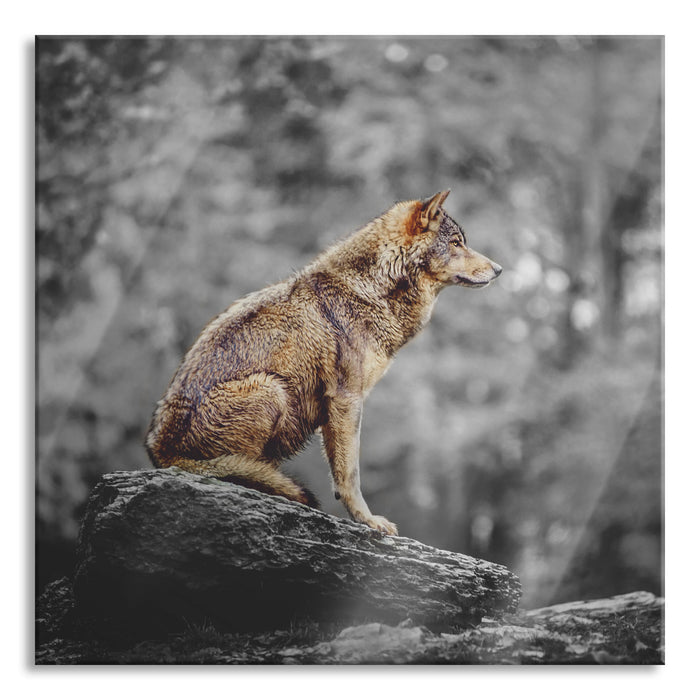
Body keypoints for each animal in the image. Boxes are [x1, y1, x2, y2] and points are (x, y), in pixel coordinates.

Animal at [145, 190, 502, 535]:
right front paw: (368, 521)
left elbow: (341, 471)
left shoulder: (337, 409)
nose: (499, 269)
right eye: (456, 243)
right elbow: (350, 474)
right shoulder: (347, 399)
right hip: (271, 389)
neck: (371, 291)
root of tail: (160, 451)